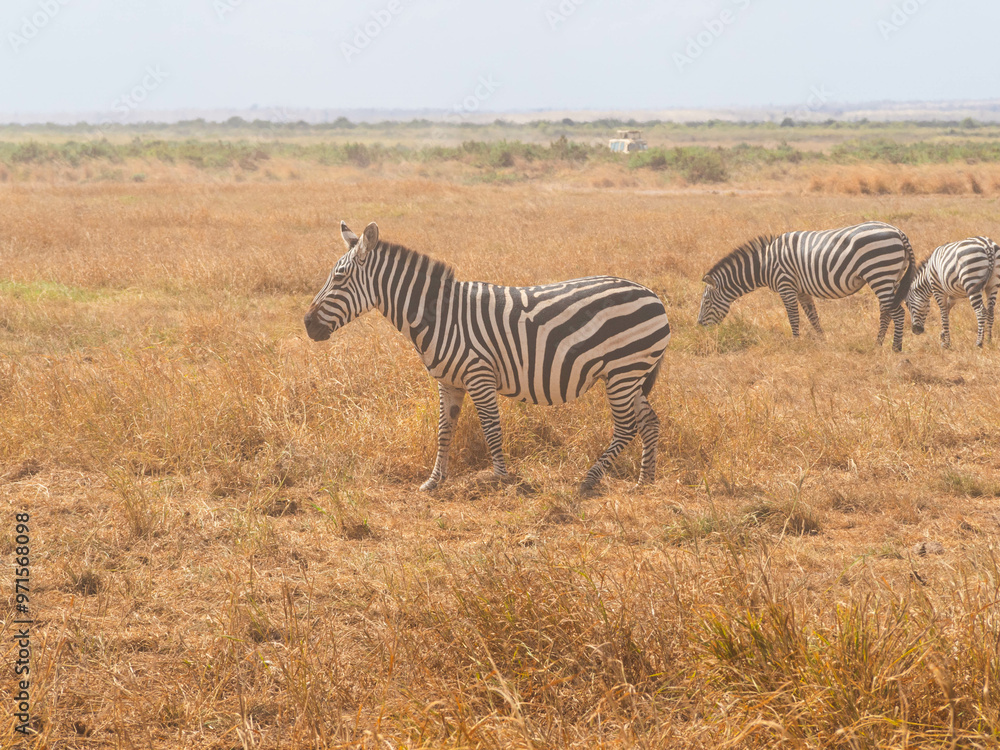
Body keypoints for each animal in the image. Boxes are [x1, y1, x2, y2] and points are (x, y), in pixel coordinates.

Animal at [304, 221, 672, 493]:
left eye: (339, 277)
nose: (307, 324)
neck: (440, 315)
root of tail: (653, 296)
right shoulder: (449, 382)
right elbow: (444, 429)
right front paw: (433, 482)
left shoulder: (479, 375)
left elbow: (491, 428)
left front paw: (500, 478)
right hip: (631, 373)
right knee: (649, 421)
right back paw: (645, 482)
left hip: (624, 369)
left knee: (626, 426)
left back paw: (590, 479)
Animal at [697, 221, 916, 351]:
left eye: (706, 302)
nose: (699, 327)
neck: (765, 263)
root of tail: (898, 231)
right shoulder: (802, 290)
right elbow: (813, 316)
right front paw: (822, 341)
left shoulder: (786, 285)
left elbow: (793, 317)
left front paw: (795, 343)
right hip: (891, 277)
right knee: (886, 311)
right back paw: (878, 344)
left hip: (879, 273)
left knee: (896, 312)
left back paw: (895, 348)